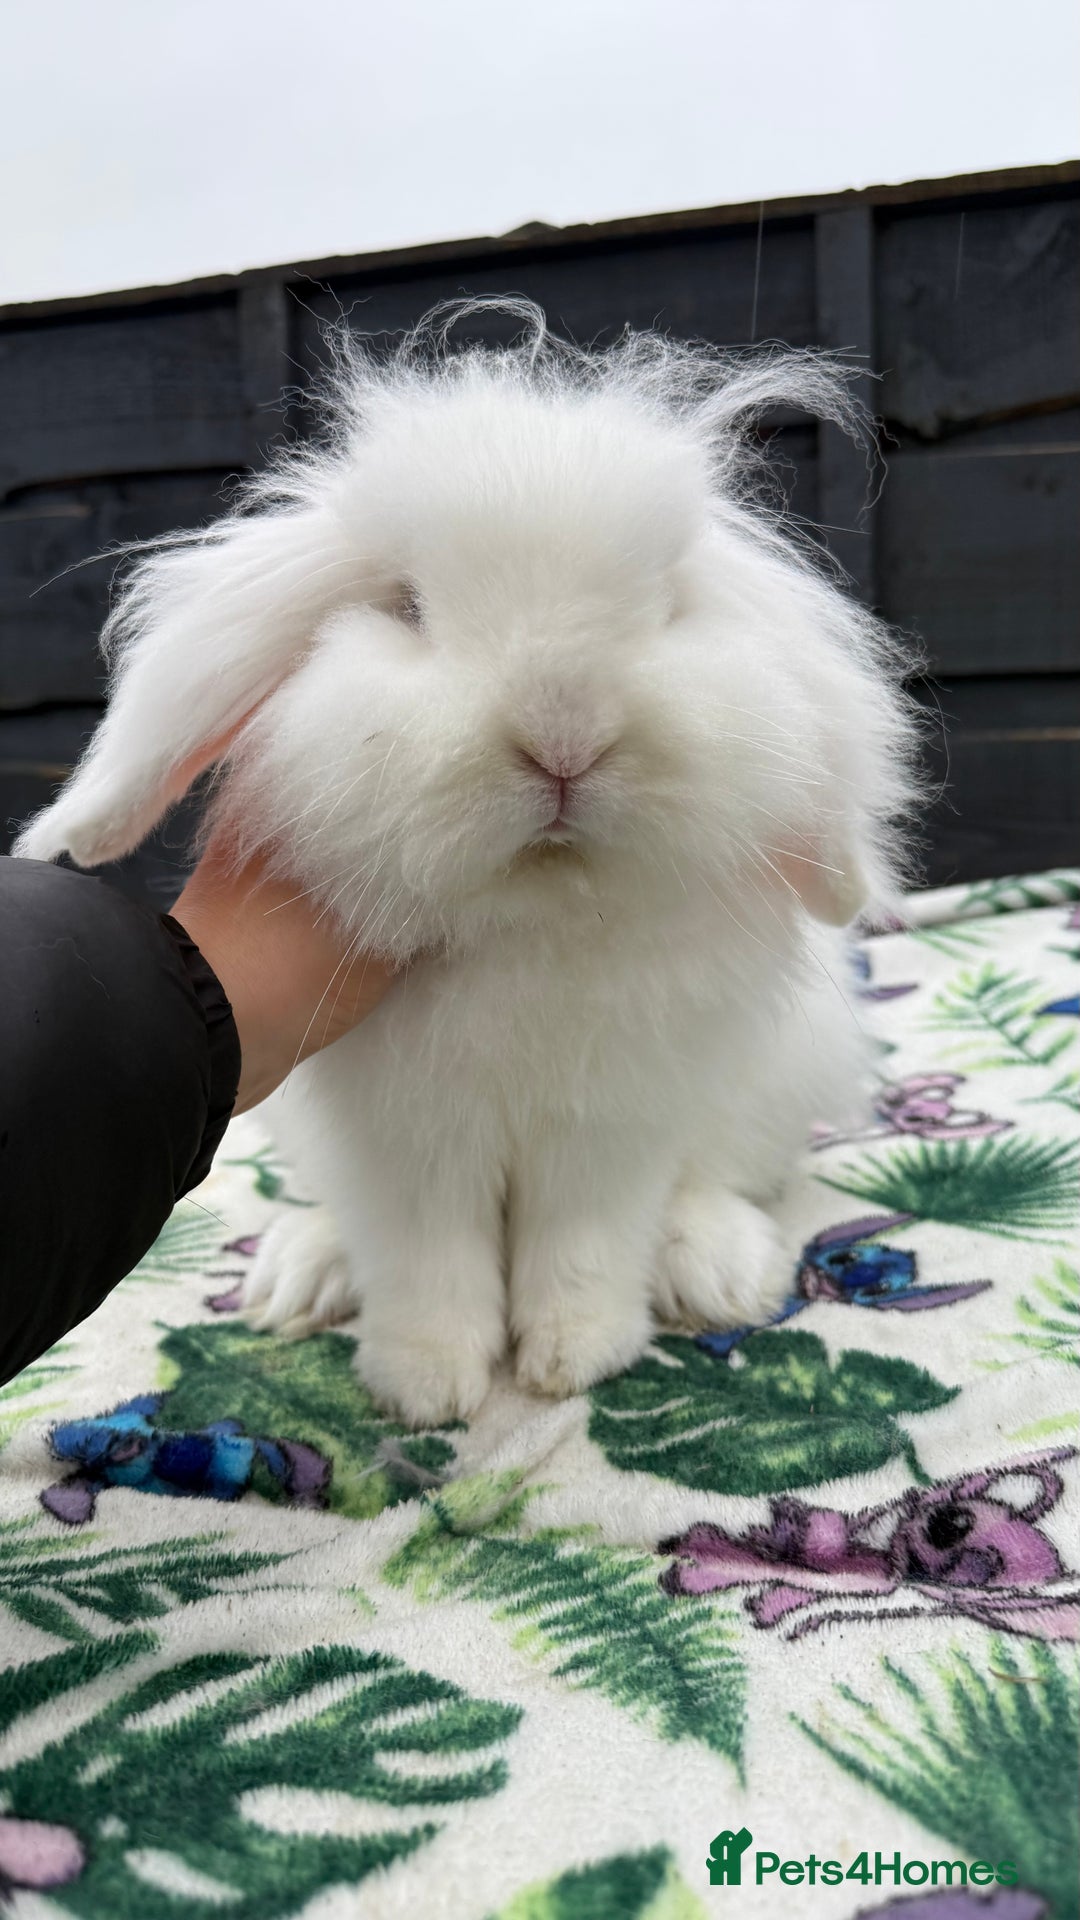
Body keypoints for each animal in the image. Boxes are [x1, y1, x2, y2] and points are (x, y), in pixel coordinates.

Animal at [15, 301, 920, 1425]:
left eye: (667, 603)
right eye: (407, 606)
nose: (565, 737)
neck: (535, 914)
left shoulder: (608, 1129)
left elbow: (583, 1245)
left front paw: (571, 1357)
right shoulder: (404, 1146)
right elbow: (425, 1262)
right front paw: (429, 1386)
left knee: (714, 1179)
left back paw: (716, 1271)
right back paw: (300, 1276)